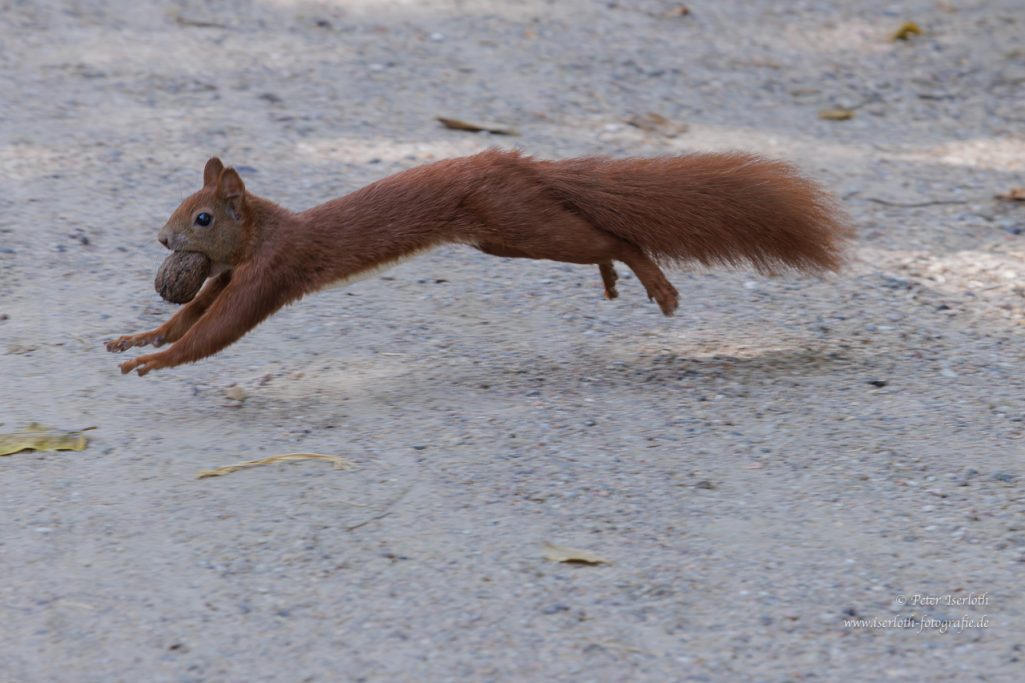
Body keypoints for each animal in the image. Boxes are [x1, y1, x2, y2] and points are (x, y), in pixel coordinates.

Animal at [108, 148, 852, 375]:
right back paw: (614, 280)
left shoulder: (270, 271)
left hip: (515, 225)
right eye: (182, 206)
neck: (261, 237)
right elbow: (192, 317)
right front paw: (137, 338)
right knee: (596, 237)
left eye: (202, 217)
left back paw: (650, 281)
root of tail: (517, 163)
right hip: (512, 231)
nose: (162, 240)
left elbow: (217, 331)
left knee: (612, 237)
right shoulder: (231, 275)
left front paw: (155, 363)